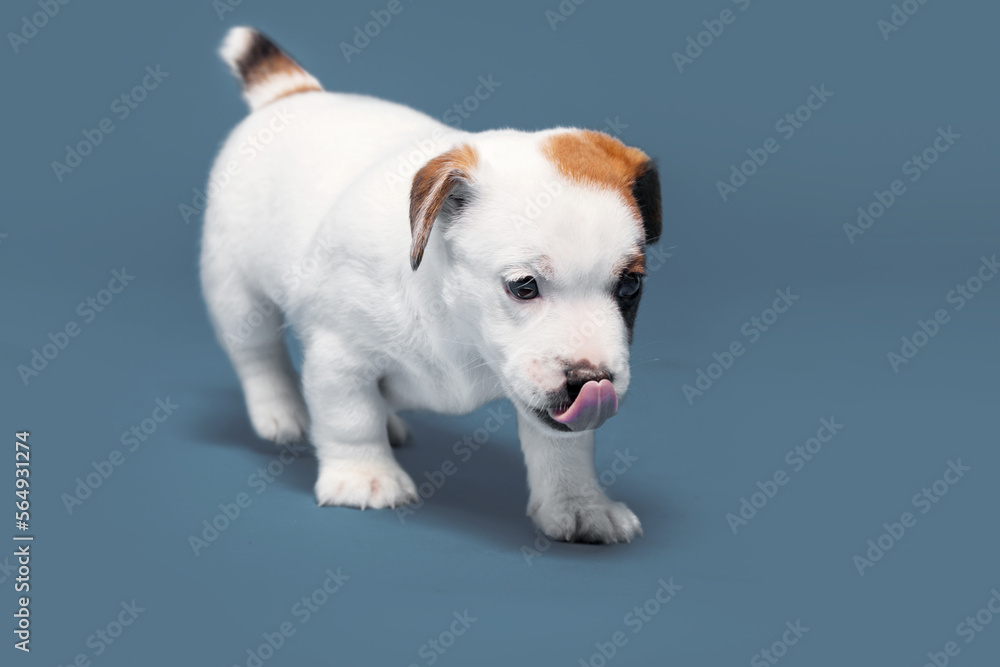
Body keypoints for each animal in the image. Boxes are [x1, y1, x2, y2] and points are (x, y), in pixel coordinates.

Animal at [200, 27, 662, 544]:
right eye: (523, 286)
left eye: (630, 287)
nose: (591, 381)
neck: (453, 320)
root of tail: (293, 93)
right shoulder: (340, 357)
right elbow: (349, 418)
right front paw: (364, 476)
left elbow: (563, 448)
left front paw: (580, 504)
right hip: (235, 291)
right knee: (257, 355)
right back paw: (280, 412)